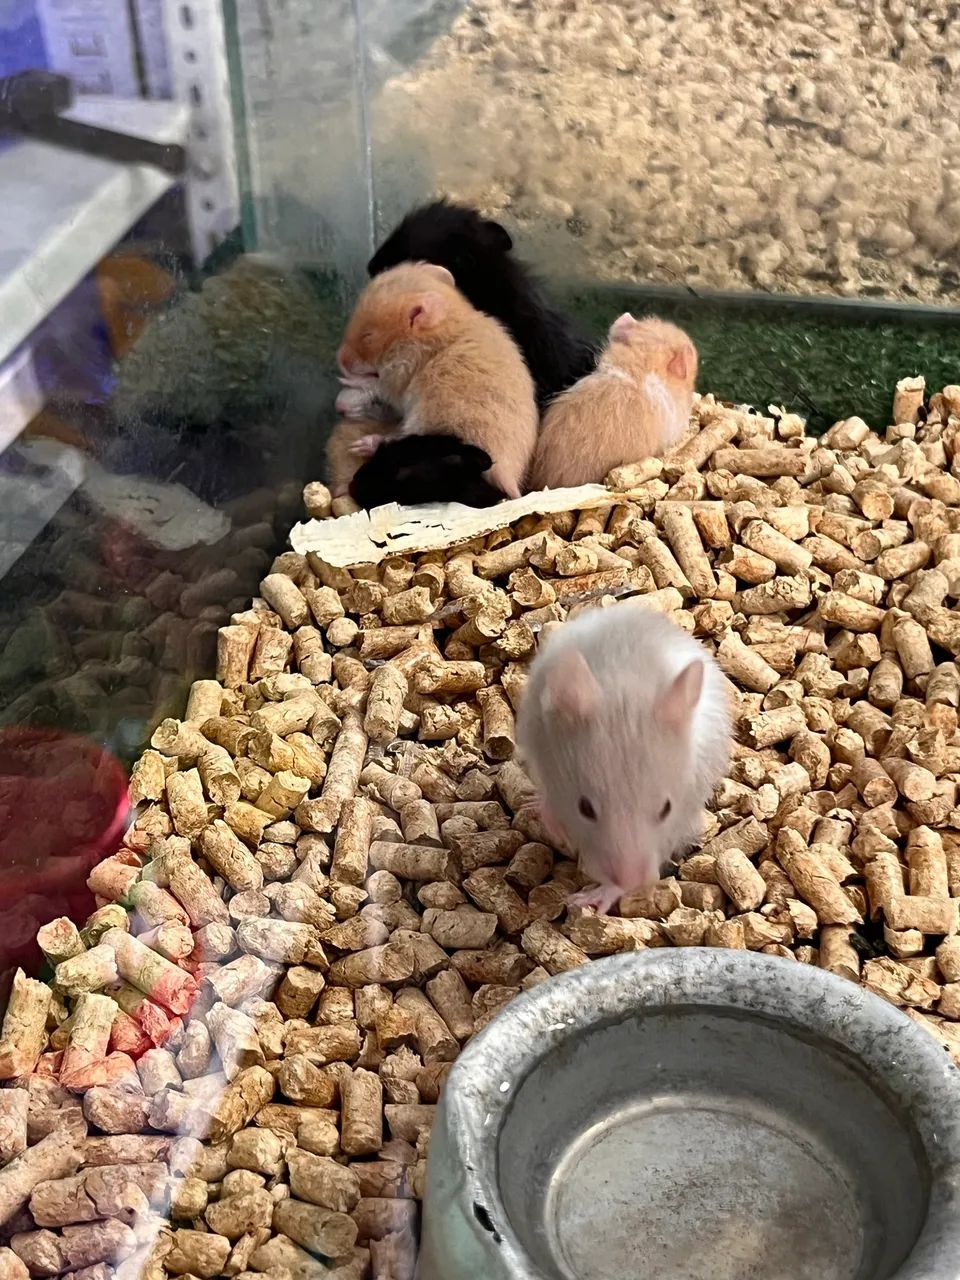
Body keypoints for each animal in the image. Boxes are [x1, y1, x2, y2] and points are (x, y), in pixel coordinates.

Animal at [336, 261, 538, 502]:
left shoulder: (396, 378)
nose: (338, 360)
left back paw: (360, 446)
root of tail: (508, 480)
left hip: (423, 426)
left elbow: (376, 383)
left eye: (368, 336)